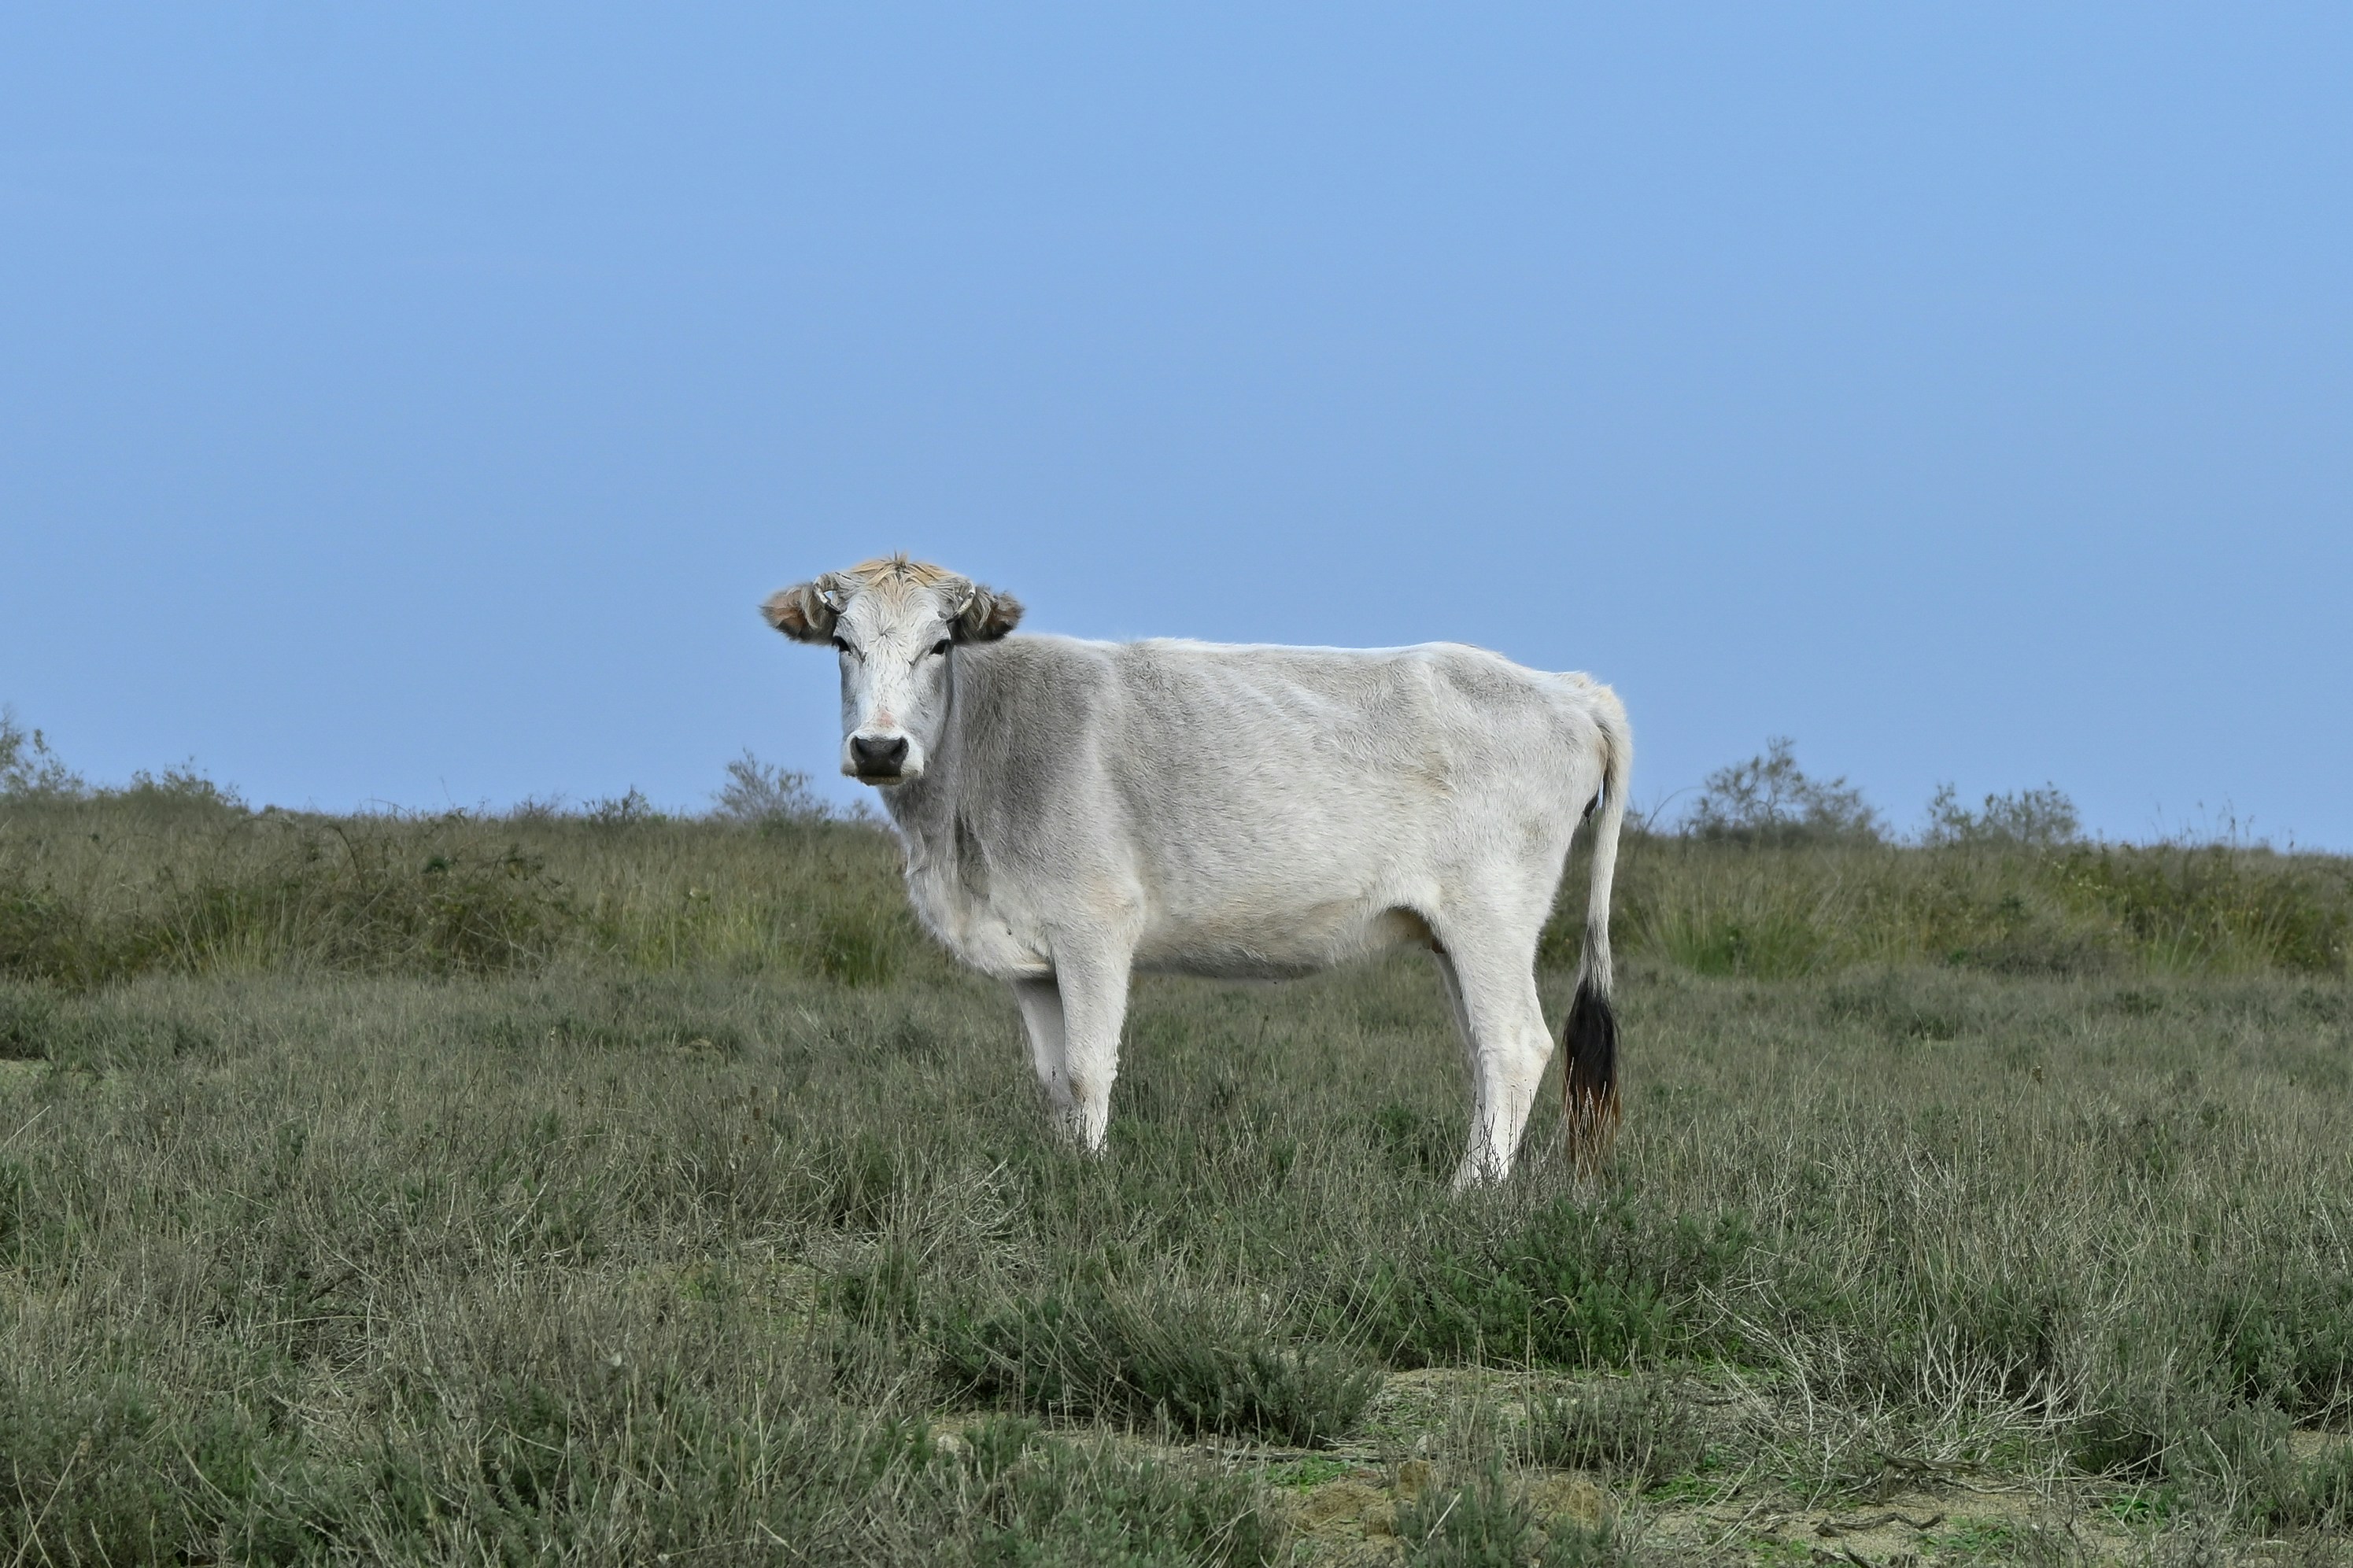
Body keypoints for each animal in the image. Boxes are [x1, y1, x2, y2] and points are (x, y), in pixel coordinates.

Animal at [762, 555, 1630, 1186]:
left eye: (938, 644)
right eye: (842, 643)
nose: (879, 747)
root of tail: (1565, 688)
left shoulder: (1095, 926)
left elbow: (1089, 1070)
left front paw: (1090, 1187)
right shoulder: (1032, 956)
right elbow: (1053, 1079)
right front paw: (1062, 1174)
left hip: (1492, 914)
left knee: (1514, 1045)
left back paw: (1467, 1194)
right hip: (1456, 936)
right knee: (1484, 1053)